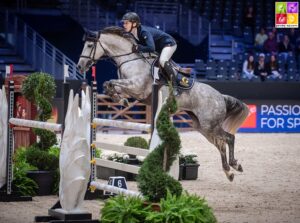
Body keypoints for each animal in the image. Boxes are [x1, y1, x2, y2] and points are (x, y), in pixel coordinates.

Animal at [77, 26, 248, 181]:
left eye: (90, 45)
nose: (80, 66)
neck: (130, 59)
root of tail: (221, 97)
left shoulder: (137, 87)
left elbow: (111, 82)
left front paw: (120, 99)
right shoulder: (131, 89)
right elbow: (109, 85)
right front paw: (120, 99)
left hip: (210, 125)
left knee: (229, 138)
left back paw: (235, 165)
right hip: (203, 127)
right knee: (221, 145)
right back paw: (229, 172)